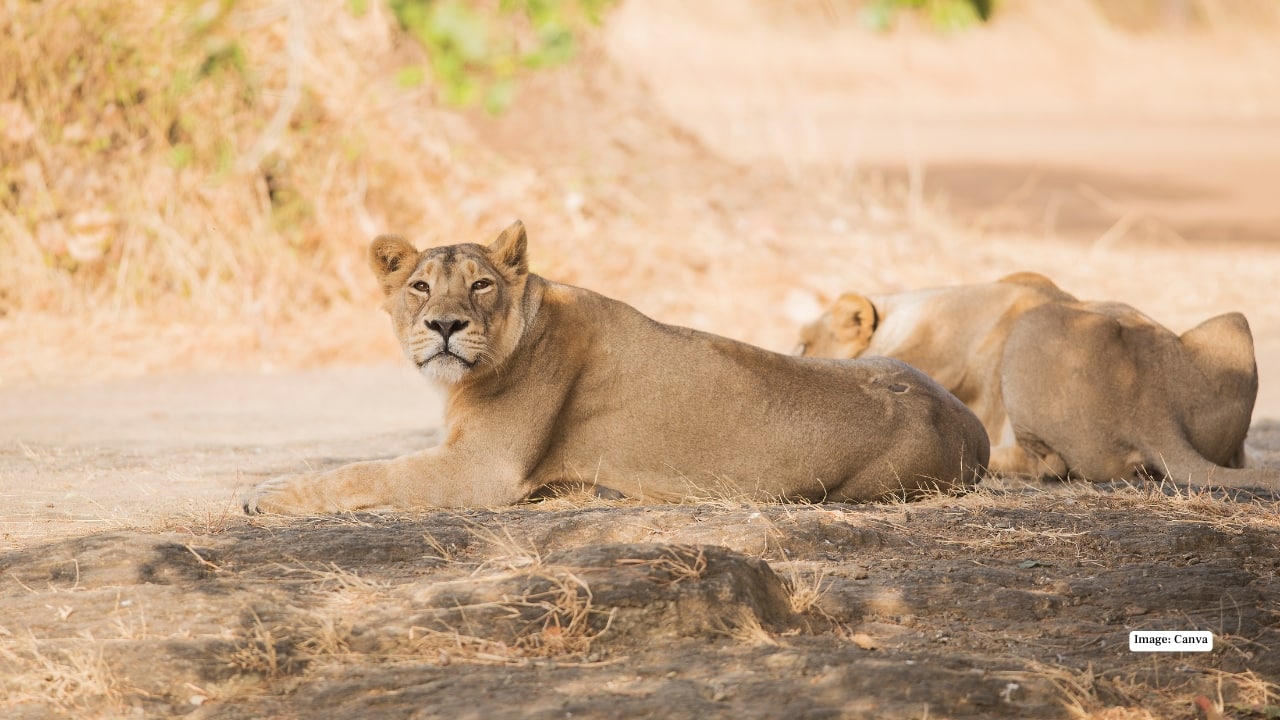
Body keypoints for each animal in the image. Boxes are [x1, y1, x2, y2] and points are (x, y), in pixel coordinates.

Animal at [243, 221, 988, 514]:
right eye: (420, 287)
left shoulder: (481, 469)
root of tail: (973, 428)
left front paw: (267, 494)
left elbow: (364, 472)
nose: (445, 326)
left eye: (480, 285)